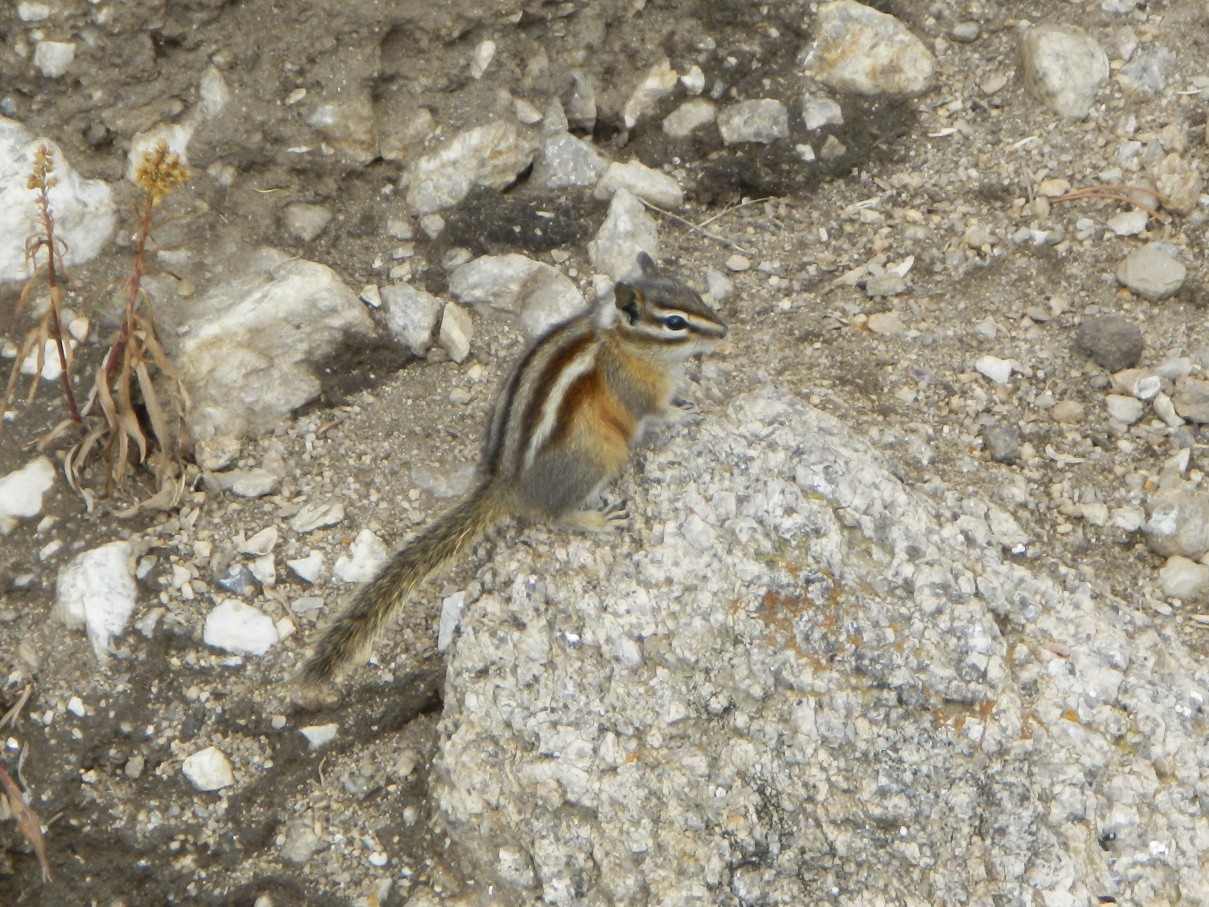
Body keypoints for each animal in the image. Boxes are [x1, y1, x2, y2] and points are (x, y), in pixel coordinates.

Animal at [297, 252, 728, 692]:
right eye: (674, 323)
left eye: (694, 294)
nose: (724, 331)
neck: (618, 339)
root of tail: (505, 487)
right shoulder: (636, 390)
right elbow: (656, 411)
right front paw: (683, 414)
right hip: (600, 455)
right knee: (554, 515)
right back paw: (597, 519)